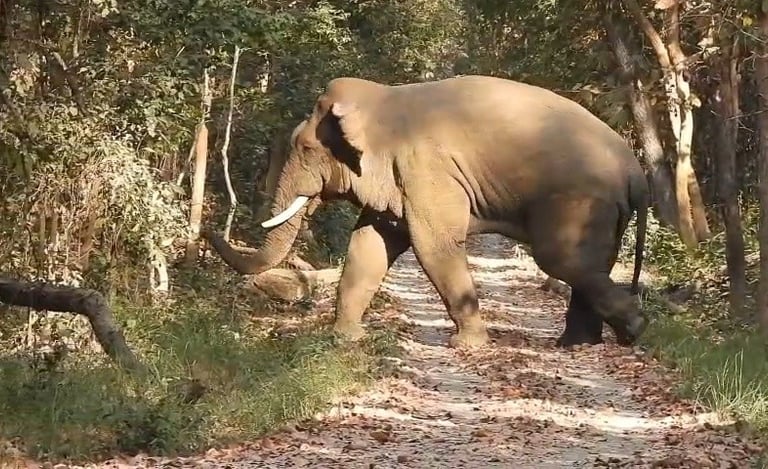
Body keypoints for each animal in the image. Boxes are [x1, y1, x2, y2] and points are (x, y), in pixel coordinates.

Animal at [203, 74, 649, 349]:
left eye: (307, 148)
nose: (207, 230)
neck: (383, 101)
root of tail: (636, 172)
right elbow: (369, 244)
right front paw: (346, 337)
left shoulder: (426, 167)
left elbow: (434, 245)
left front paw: (467, 344)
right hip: (606, 212)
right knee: (589, 264)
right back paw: (579, 344)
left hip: (581, 201)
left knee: (562, 259)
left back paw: (634, 329)